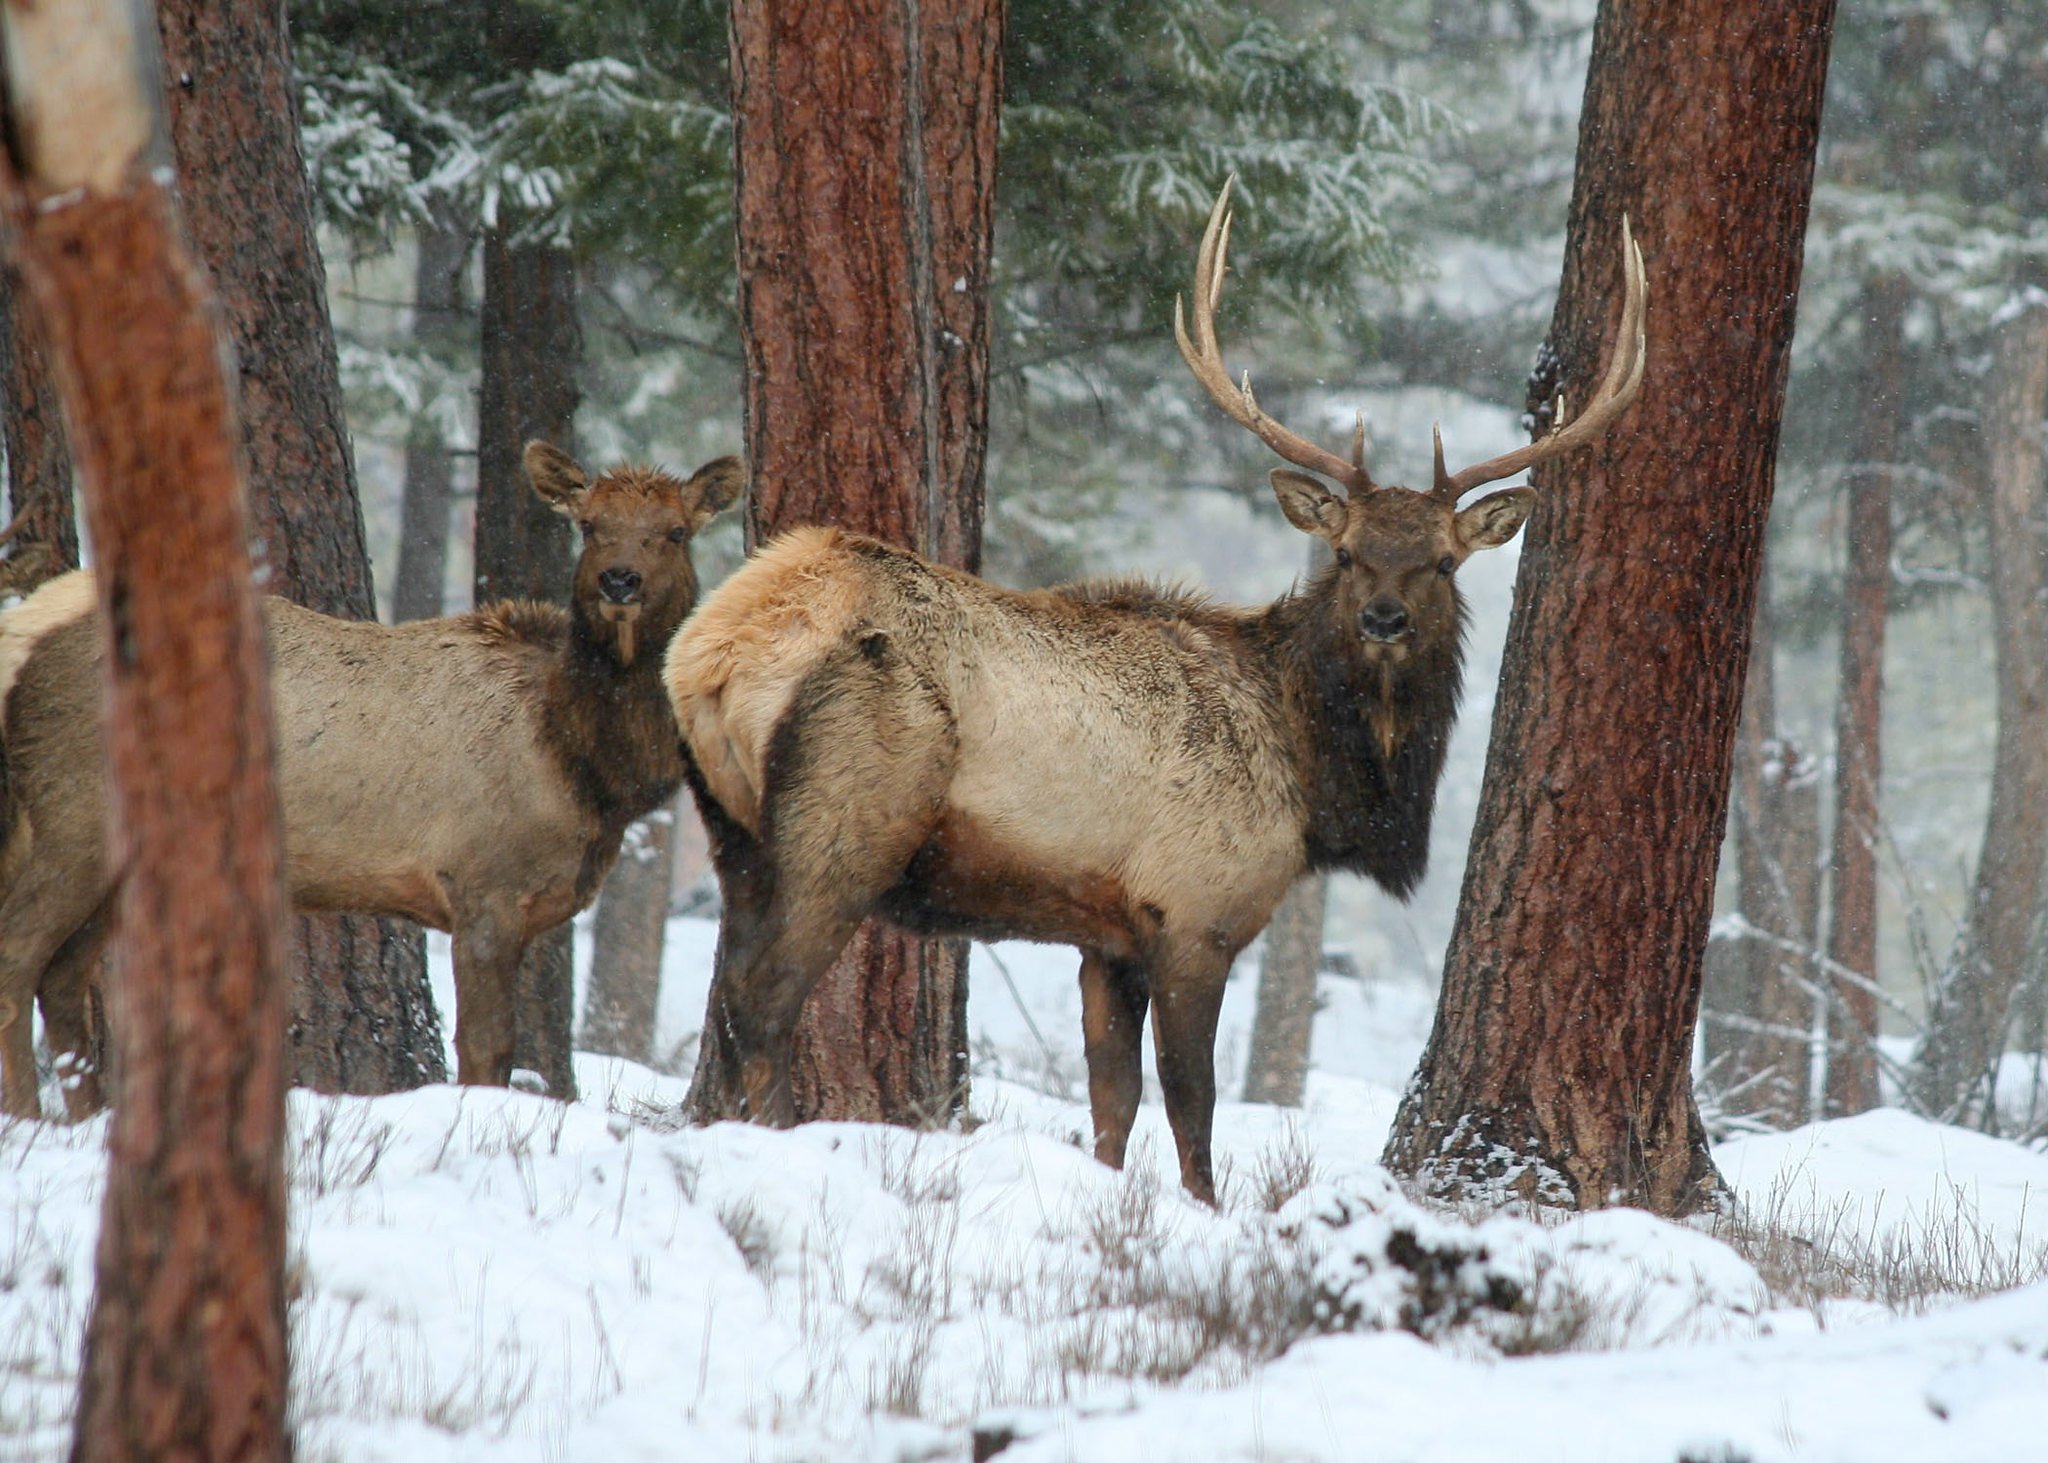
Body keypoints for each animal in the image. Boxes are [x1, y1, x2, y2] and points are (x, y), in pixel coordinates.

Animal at [0, 443, 742, 1119]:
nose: (621, 580)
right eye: (589, 525)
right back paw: (27, 1120)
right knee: (18, 957)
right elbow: (487, 1047)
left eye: (676, 531)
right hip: (71, 820)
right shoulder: (483, 885)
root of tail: (26, 641)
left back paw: (88, 1119)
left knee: (62, 978)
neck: (585, 767)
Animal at [665, 179, 1647, 1203]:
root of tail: (711, 651)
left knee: (730, 997)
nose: (1384, 619)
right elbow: (1191, 1100)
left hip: (734, 829)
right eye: (1345, 553)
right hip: (847, 814)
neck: (1313, 784)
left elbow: (1113, 1100)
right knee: (763, 999)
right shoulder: (1195, 909)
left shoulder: (1108, 936)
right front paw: (1205, 1210)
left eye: (1444, 563)